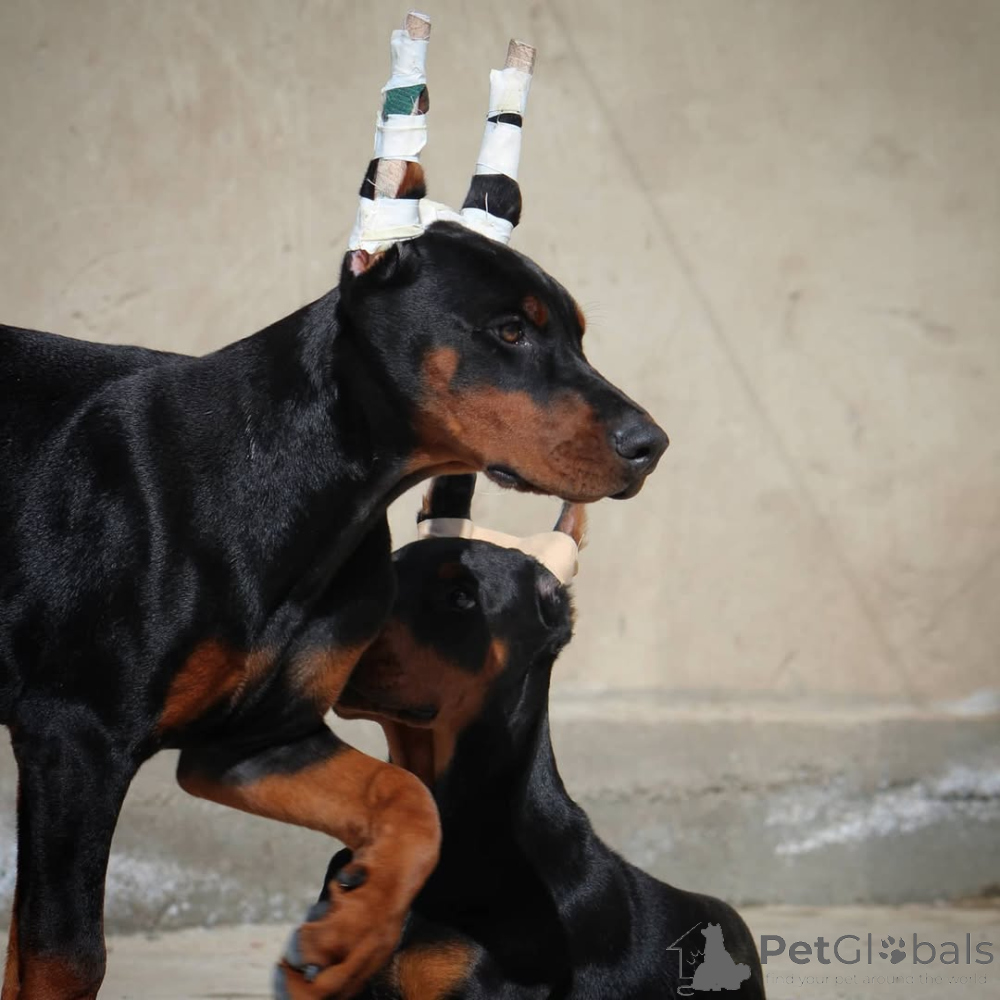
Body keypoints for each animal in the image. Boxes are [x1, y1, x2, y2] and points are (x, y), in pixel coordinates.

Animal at [0, 18, 668, 998]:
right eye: (509, 330)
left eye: (579, 333)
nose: (651, 444)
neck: (310, 490)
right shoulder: (73, 737)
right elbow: (62, 954)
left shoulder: (253, 742)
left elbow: (412, 803)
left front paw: (352, 932)